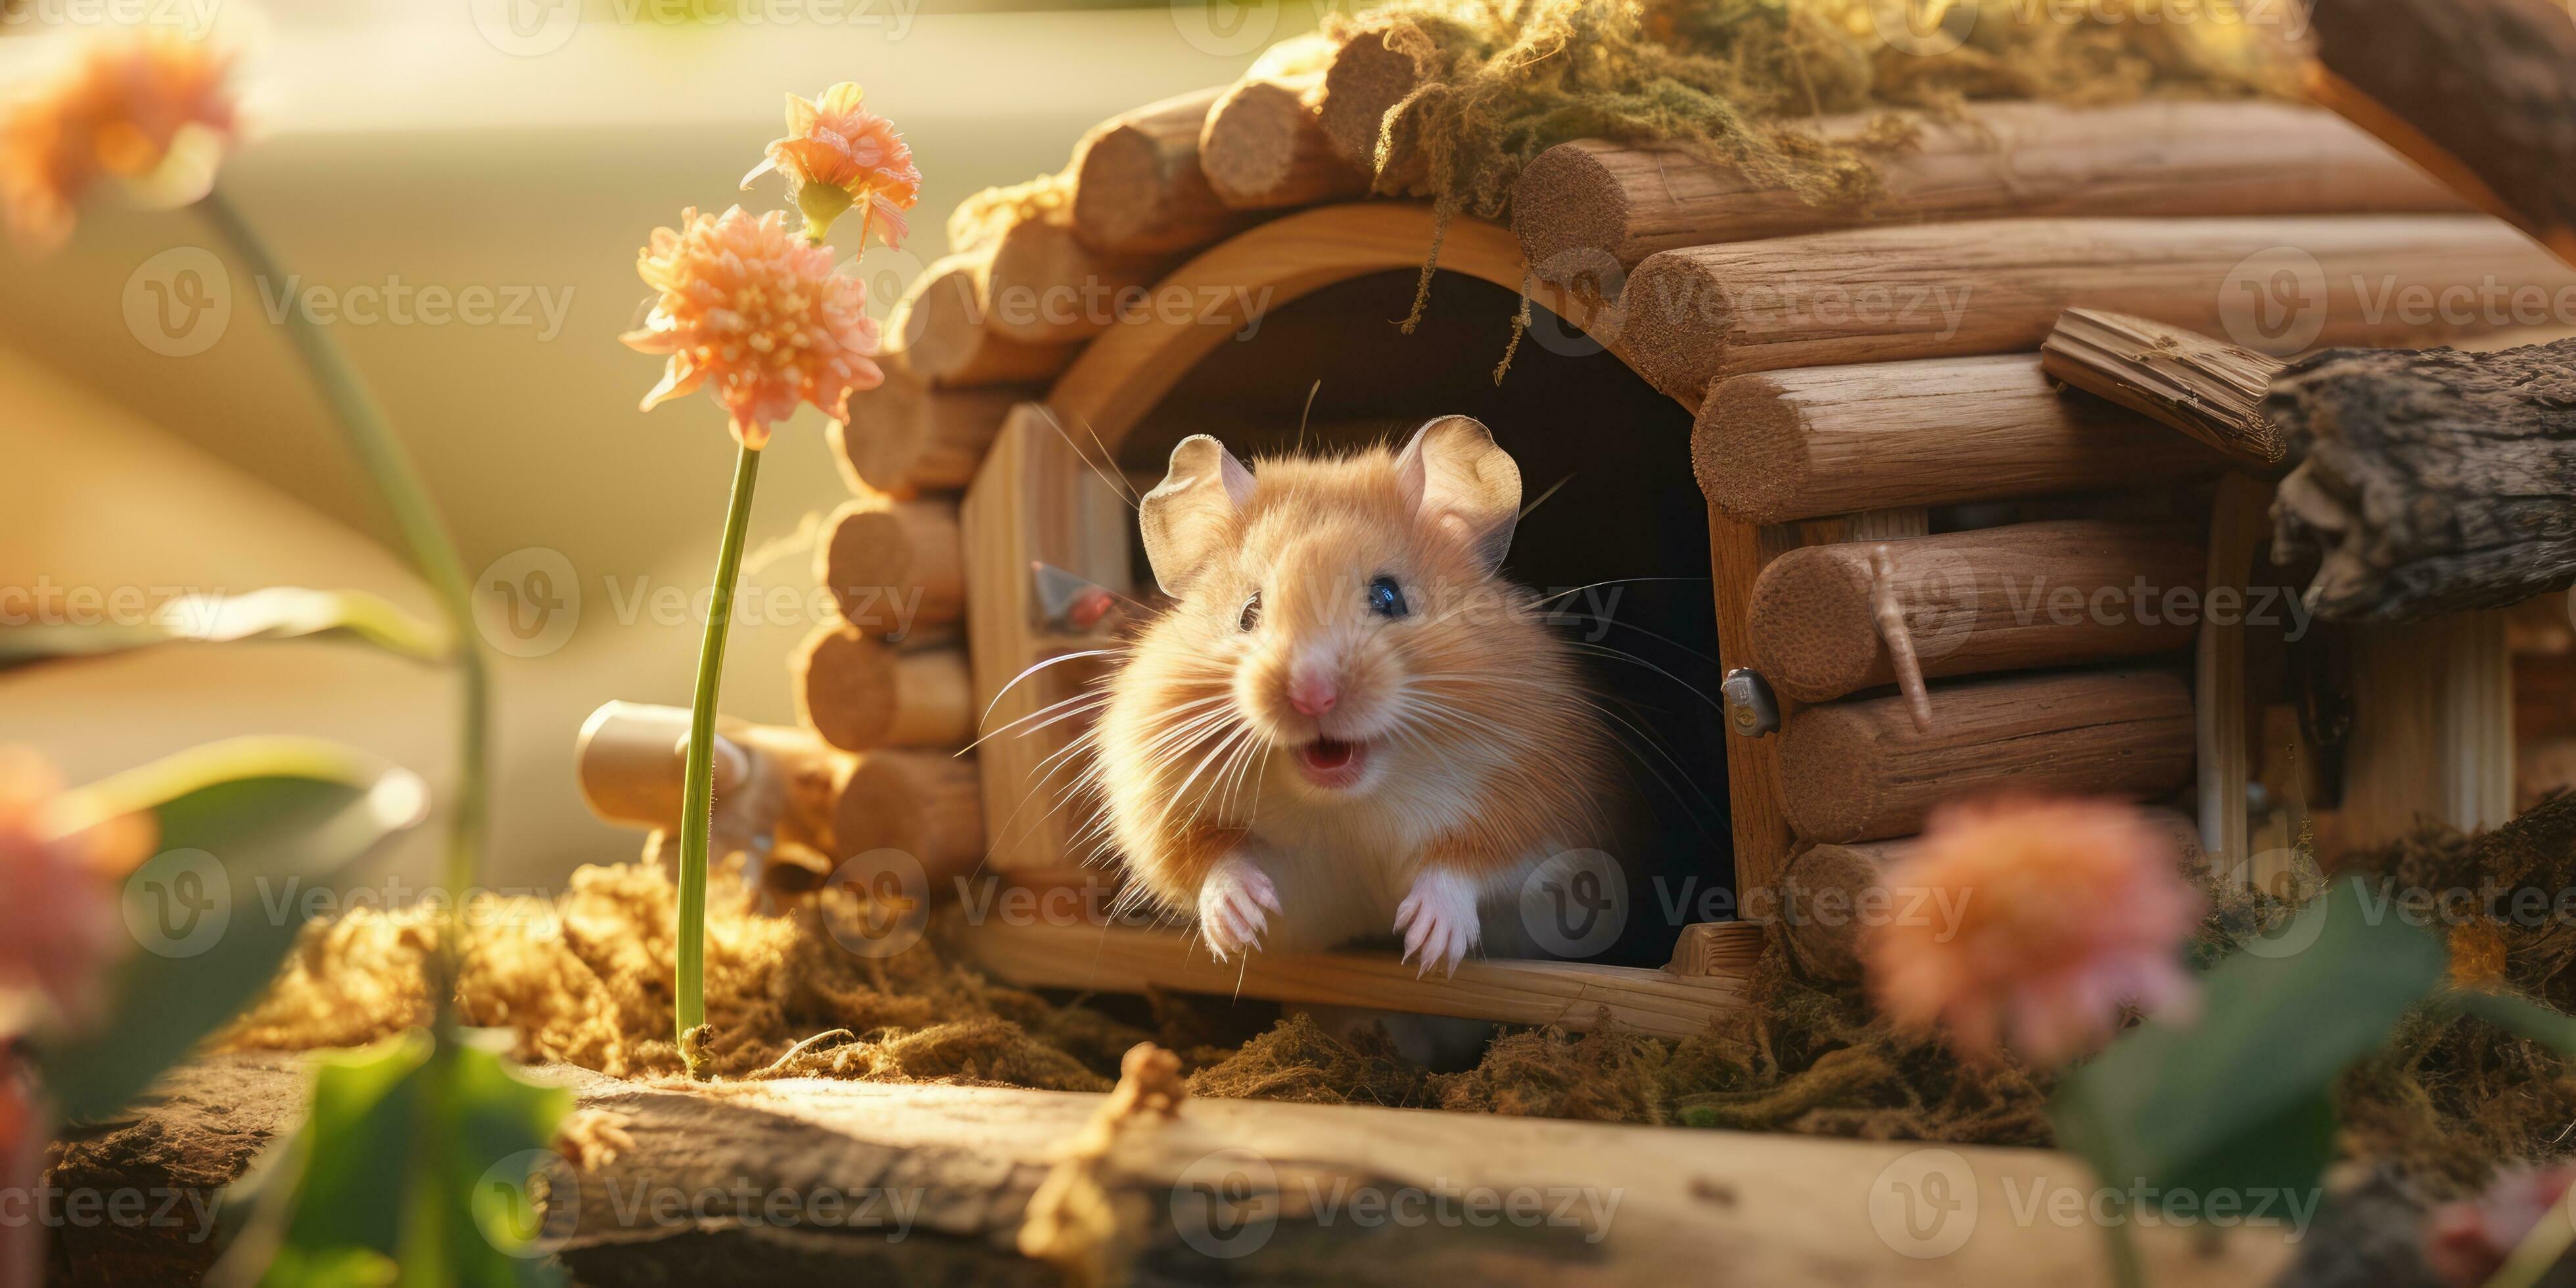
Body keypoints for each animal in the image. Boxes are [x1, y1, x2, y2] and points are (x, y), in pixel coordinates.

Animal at [1097, 417, 1618, 968]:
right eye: (1248, 613)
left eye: (1389, 597)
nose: (1312, 695)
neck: (1342, 805)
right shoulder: (1154, 806)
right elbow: (1212, 858)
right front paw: (1237, 928)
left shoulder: (1538, 809)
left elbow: (1461, 866)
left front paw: (1426, 948)